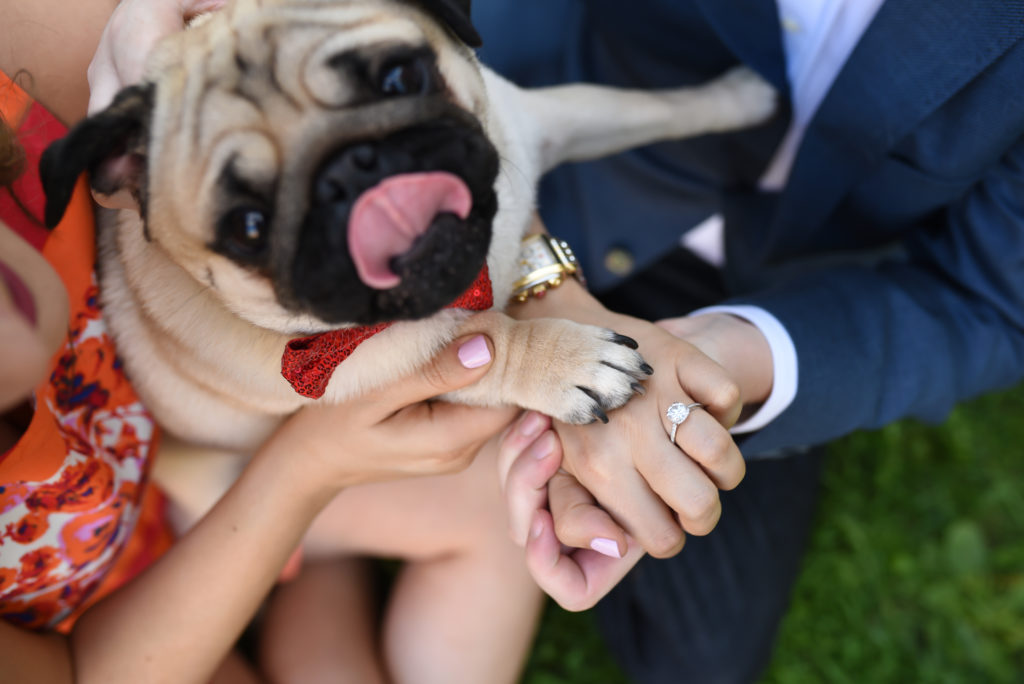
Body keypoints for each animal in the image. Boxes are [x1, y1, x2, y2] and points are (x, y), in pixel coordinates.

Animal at [41, 1, 774, 524]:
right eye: (248, 227)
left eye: (400, 77)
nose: (350, 171)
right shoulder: (385, 368)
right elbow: (485, 343)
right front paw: (567, 361)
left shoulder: (541, 119)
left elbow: (641, 107)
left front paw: (742, 98)